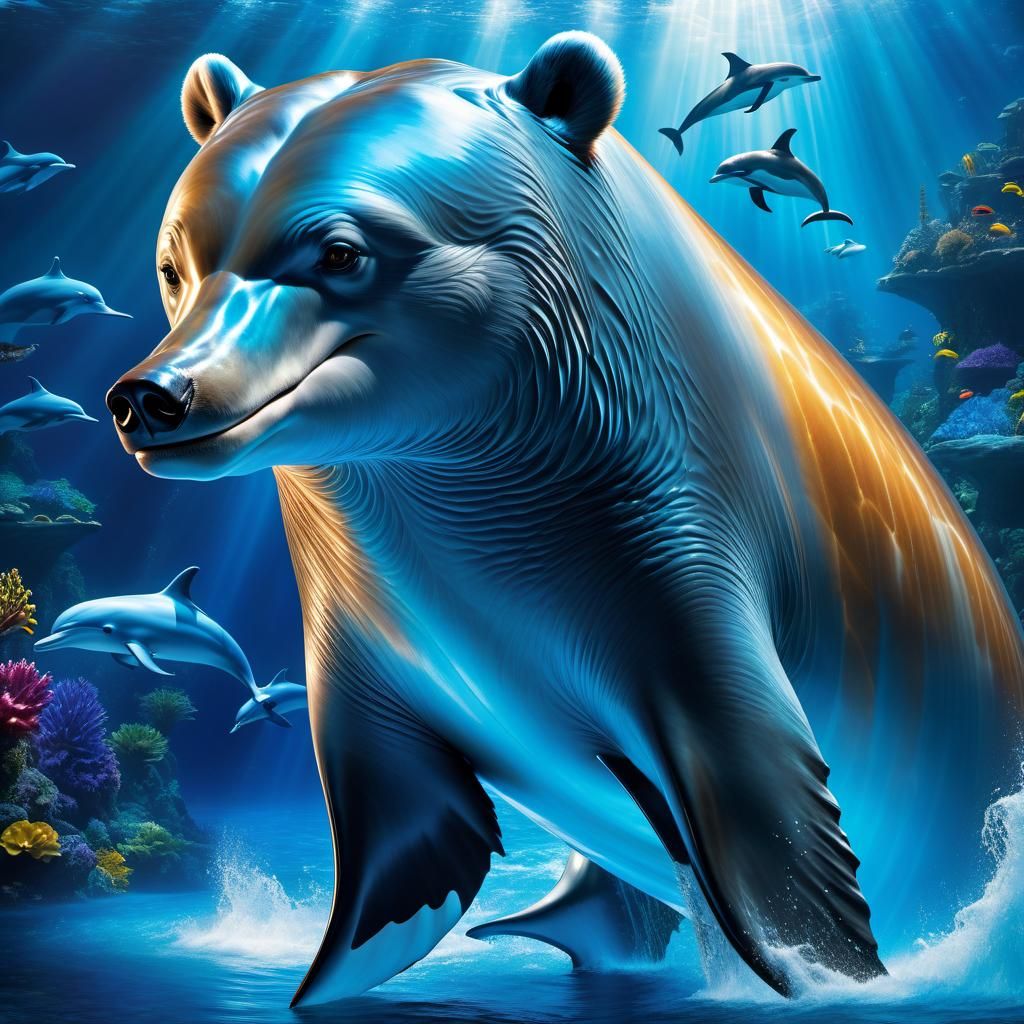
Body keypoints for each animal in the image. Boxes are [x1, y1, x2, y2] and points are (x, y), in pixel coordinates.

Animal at [107, 33, 1024, 1006]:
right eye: (172, 267)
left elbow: (760, 821)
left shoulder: (685, 545)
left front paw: (830, 977)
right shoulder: (354, 634)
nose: (150, 396)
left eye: (343, 254)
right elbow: (388, 834)